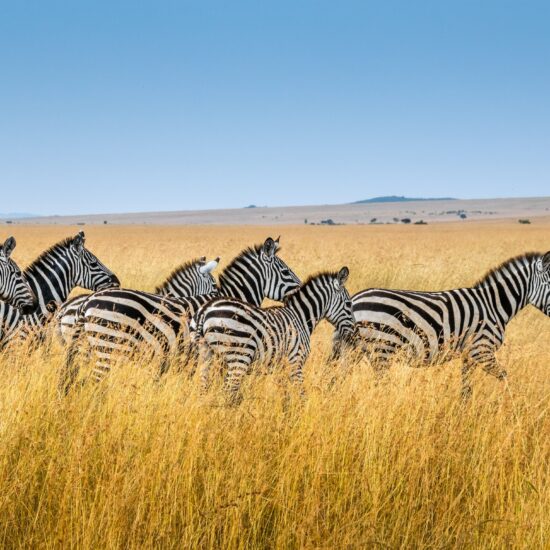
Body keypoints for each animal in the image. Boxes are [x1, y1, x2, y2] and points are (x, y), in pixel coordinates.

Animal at [196, 268, 356, 404]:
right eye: (348, 304)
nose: (354, 332)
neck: (300, 317)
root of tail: (206, 310)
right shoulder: (295, 362)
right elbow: (301, 394)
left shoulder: (282, 367)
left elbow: (285, 395)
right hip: (239, 357)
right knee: (228, 392)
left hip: (206, 355)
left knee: (204, 389)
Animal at [332, 252, 550, 398]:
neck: (493, 305)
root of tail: (355, 300)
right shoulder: (482, 350)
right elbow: (505, 377)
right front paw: (512, 407)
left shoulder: (469, 354)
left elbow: (466, 388)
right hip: (382, 350)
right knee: (379, 386)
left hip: (354, 351)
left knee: (336, 380)